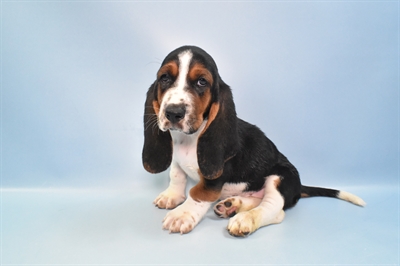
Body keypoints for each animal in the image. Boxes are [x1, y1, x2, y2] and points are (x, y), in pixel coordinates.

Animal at [143, 45, 366, 237]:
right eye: (164, 78)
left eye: (201, 82)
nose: (173, 112)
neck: (188, 138)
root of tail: (299, 186)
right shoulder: (176, 160)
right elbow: (176, 174)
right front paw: (172, 196)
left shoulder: (214, 178)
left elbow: (199, 193)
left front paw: (182, 215)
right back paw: (232, 206)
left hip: (279, 177)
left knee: (275, 210)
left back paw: (245, 219)